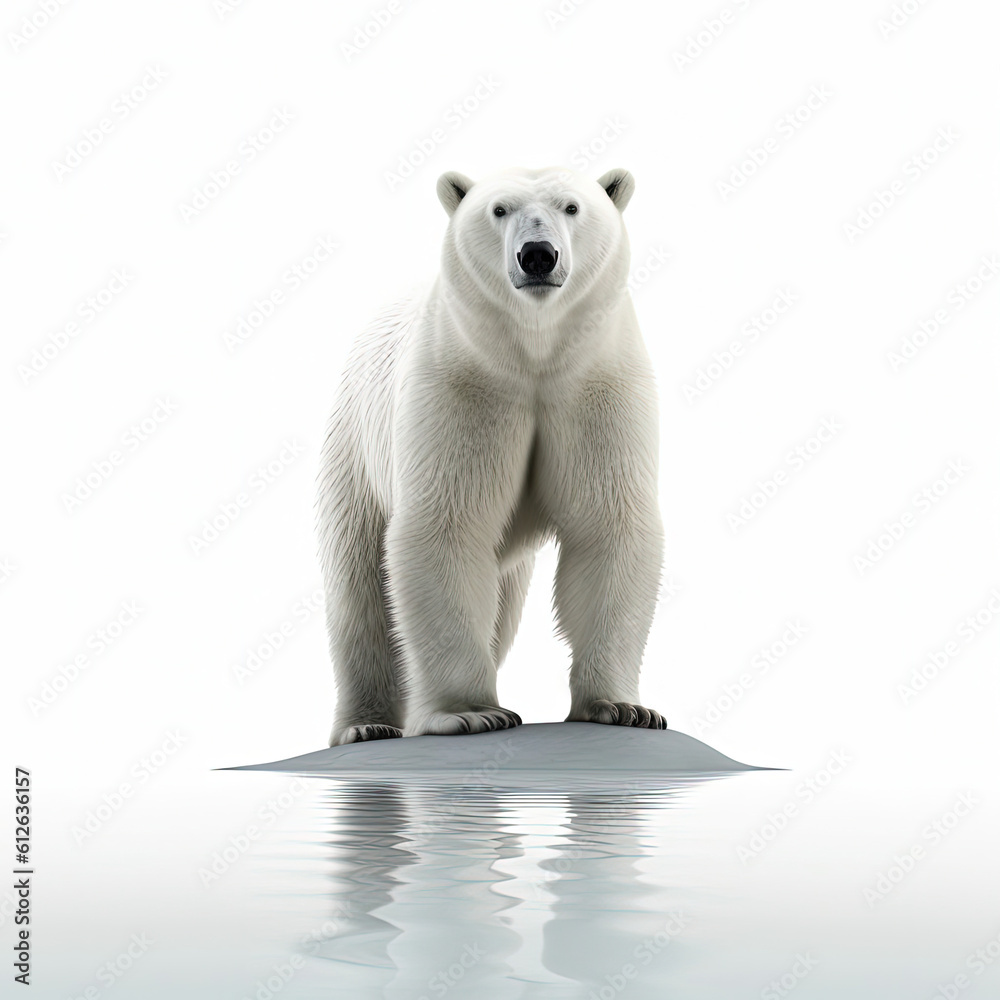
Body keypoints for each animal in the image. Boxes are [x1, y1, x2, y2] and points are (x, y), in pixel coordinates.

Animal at [318, 166, 664, 744]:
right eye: (498, 210)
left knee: (502, 604)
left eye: (572, 206)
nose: (538, 255)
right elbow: (445, 526)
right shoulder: (463, 383)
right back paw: (366, 725)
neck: (534, 355)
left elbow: (609, 524)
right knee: (359, 594)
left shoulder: (597, 385)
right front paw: (470, 712)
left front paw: (622, 707)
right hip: (355, 449)